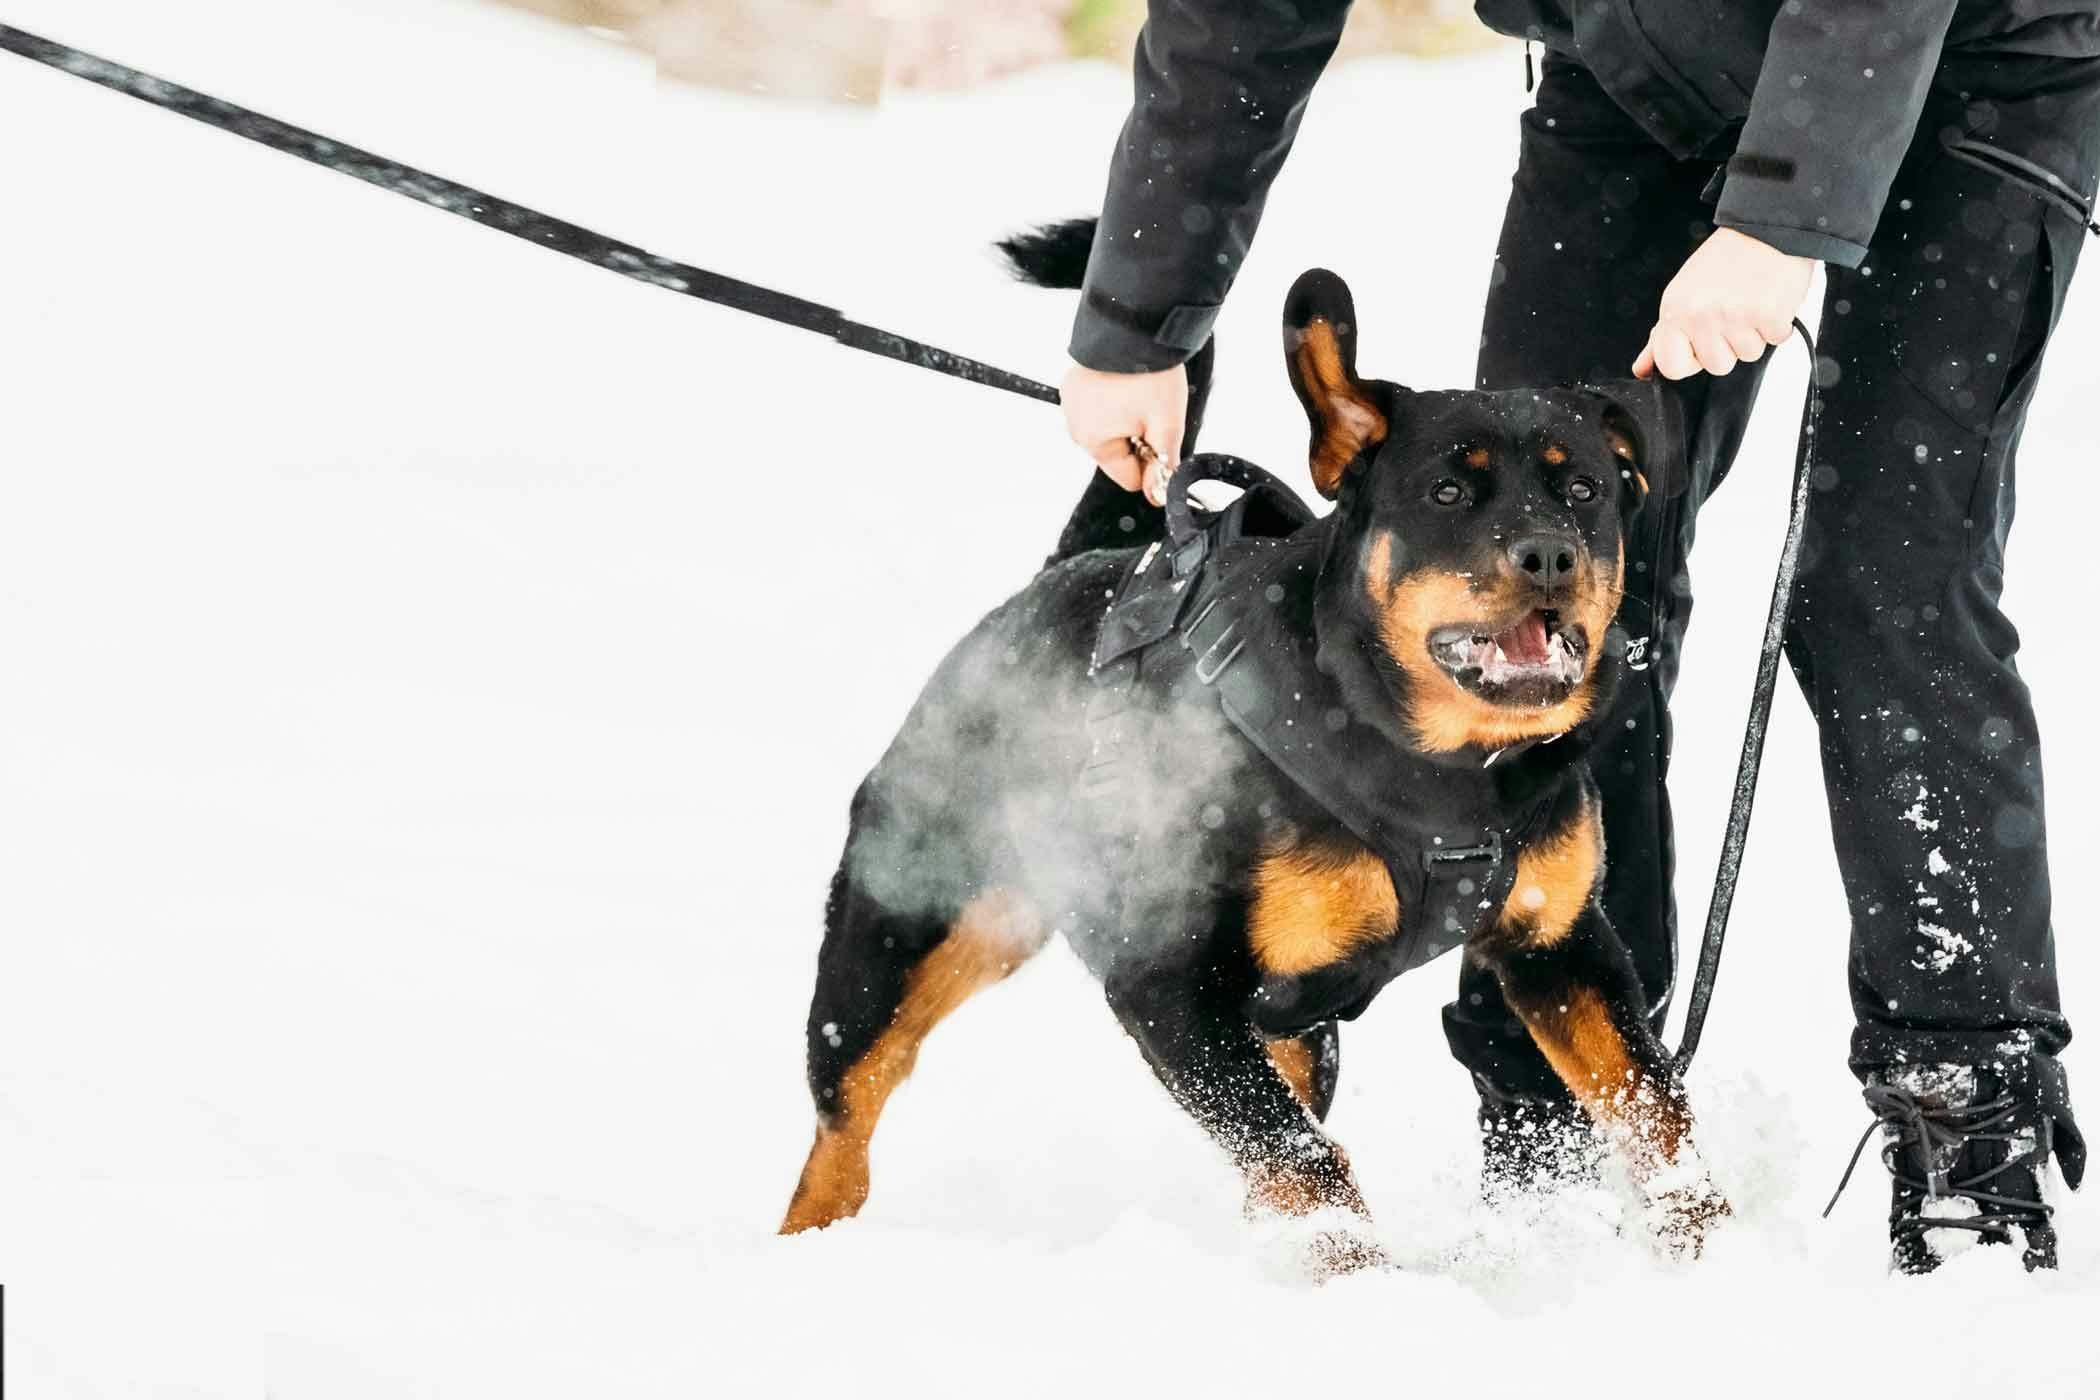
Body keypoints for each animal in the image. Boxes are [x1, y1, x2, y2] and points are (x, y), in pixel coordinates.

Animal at [781, 221, 1730, 1267]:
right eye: (1447, 489)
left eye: (1585, 489)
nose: (1550, 555)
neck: (1438, 771)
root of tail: (1050, 584)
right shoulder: (1168, 984)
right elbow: (1302, 1161)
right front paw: (1367, 1283)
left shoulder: (1562, 945)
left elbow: (1654, 1106)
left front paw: (1715, 1247)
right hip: (906, 922)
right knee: (844, 1114)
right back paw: (806, 1244)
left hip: (1292, 1027)